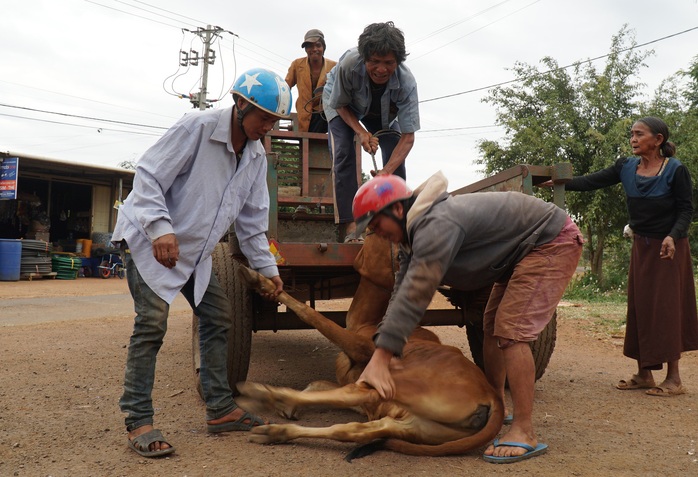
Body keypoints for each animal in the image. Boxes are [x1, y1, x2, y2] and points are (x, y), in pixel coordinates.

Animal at [235, 234, 500, 458]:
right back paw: (274, 432)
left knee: (350, 401)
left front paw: (261, 281)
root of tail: (491, 397)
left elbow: (312, 315)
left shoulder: (360, 348)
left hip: (390, 384)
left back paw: (261, 395)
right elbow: (317, 385)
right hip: (413, 424)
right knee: (355, 430)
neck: (366, 321)